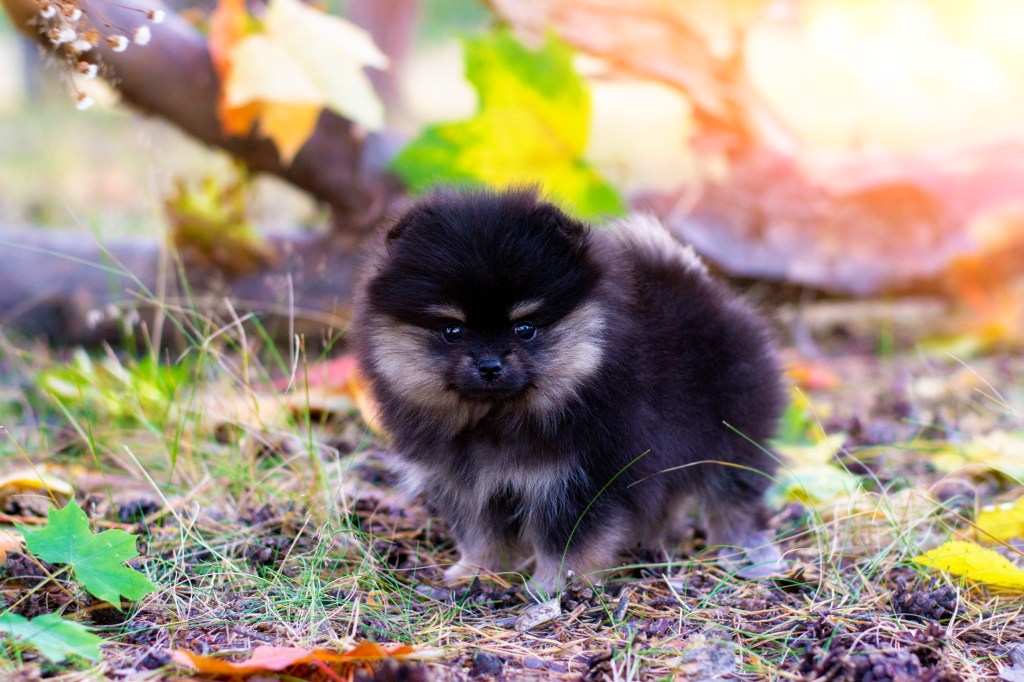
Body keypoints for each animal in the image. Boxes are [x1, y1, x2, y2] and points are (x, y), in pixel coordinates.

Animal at [352, 186, 782, 589]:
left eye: (525, 328)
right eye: (451, 330)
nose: (489, 365)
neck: (498, 419)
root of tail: (703, 290)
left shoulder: (578, 477)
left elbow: (567, 540)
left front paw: (554, 585)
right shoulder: (462, 479)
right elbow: (480, 533)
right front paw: (478, 572)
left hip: (733, 431)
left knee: (733, 494)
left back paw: (739, 548)